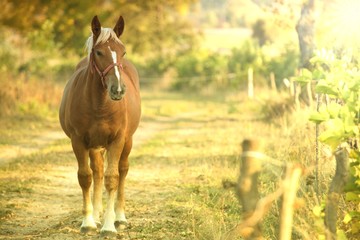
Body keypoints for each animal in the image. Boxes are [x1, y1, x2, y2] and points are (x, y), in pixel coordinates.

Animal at [59, 15, 141, 236]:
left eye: (123, 51)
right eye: (98, 52)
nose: (118, 89)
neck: (99, 105)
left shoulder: (117, 140)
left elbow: (112, 178)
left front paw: (109, 226)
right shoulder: (78, 142)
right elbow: (85, 177)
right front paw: (88, 222)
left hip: (127, 142)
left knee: (122, 171)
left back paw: (119, 218)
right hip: (95, 146)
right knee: (96, 173)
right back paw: (96, 216)